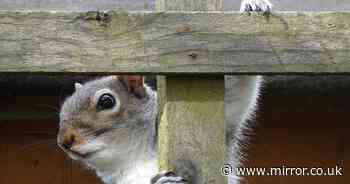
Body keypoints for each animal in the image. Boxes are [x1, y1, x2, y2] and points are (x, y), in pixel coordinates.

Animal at [57, 1, 270, 183]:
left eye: (106, 101)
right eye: (63, 108)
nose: (64, 141)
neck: (134, 159)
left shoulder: (226, 123)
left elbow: (238, 92)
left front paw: (254, 6)